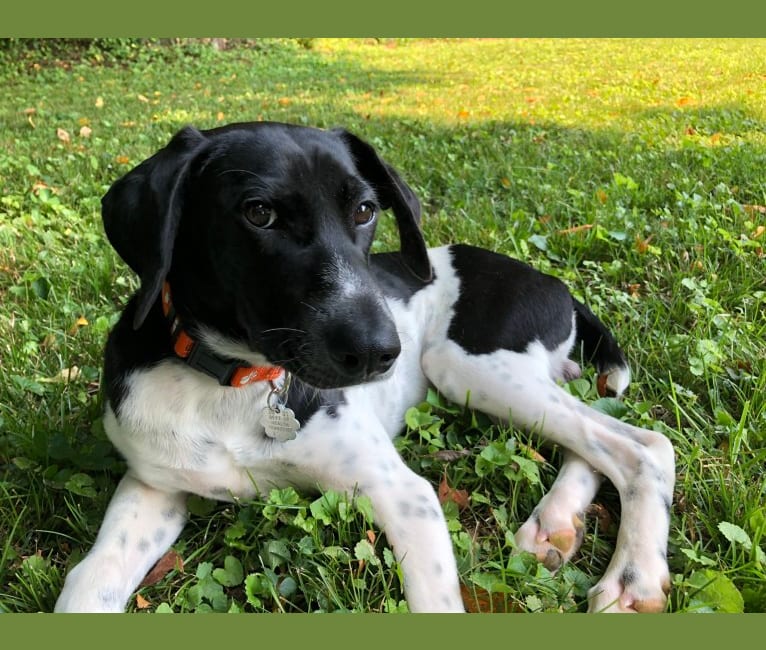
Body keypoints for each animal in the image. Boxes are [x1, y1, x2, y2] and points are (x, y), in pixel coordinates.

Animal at [54, 121, 676, 612]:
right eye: (259, 213)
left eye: (364, 210)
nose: (380, 352)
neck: (235, 382)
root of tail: (553, 282)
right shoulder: (152, 486)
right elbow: (88, 581)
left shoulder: (405, 495)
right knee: (595, 439)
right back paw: (556, 523)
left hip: (466, 366)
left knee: (641, 445)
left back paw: (633, 578)